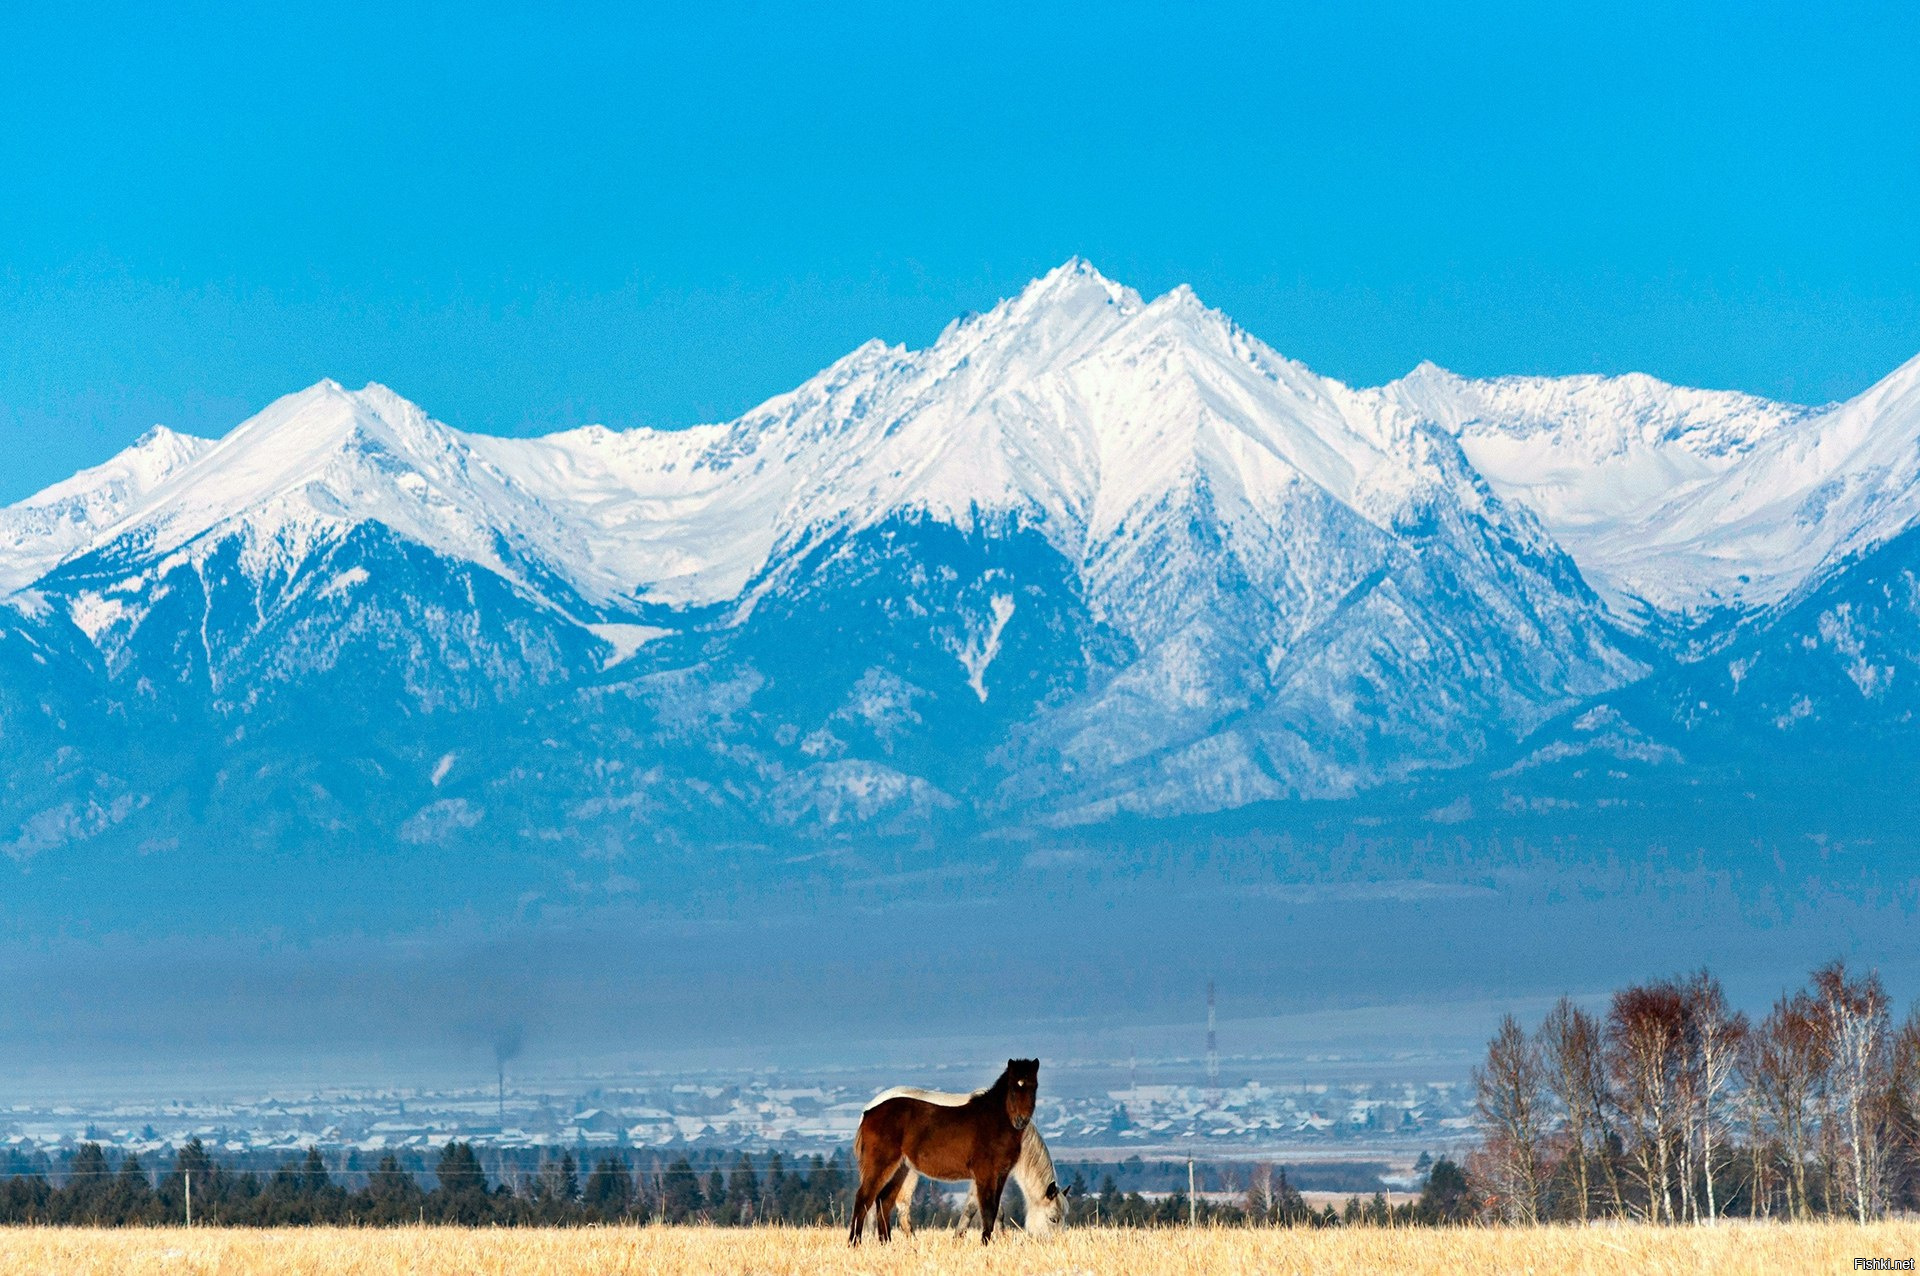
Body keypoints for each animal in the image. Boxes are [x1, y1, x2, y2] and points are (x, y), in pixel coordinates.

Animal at [852, 1051, 1036, 1243]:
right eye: (1013, 1090)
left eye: (1033, 1088)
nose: (1021, 1120)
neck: (993, 1121)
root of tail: (869, 1112)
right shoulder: (985, 1175)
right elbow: (987, 1209)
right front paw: (985, 1243)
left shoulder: (1000, 1175)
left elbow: (991, 1211)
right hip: (880, 1164)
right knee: (864, 1198)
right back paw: (854, 1242)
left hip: (900, 1168)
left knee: (884, 1201)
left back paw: (886, 1243)